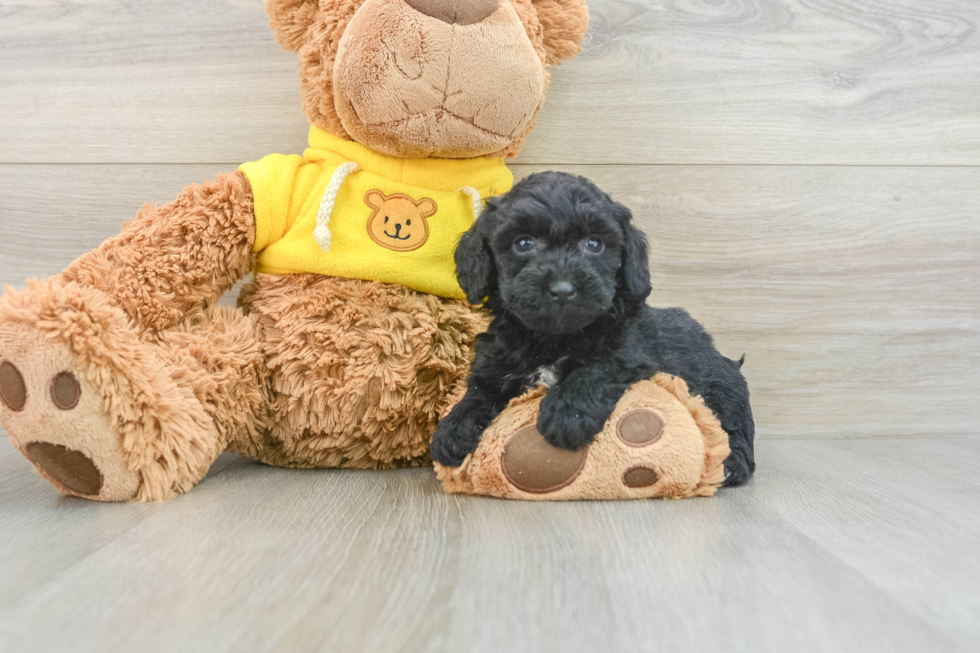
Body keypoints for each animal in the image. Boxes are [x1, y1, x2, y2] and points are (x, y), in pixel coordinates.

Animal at [430, 169, 756, 484]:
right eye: (523, 243)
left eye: (594, 244)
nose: (563, 289)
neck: (553, 338)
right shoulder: (498, 360)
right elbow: (480, 390)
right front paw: (452, 428)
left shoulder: (632, 352)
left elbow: (597, 368)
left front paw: (567, 414)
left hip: (722, 388)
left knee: (733, 429)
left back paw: (731, 466)